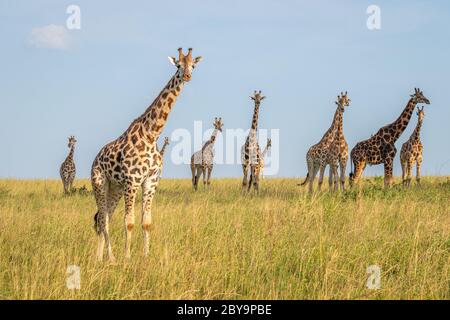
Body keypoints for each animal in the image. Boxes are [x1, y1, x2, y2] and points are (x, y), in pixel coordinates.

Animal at [91, 48, 202, 262]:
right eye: (178, 65)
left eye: (193, 65)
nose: (186, 76)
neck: (151, 134)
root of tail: (95, 159)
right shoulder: (132, 180)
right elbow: (129, 221)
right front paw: (127, 257)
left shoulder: (151, 181)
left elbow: (146, 222)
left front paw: (146, 255)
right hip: (99, 183)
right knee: (103, 219)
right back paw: (111, 258)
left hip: (115, 188)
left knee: (104, 216)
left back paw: (100, 257)